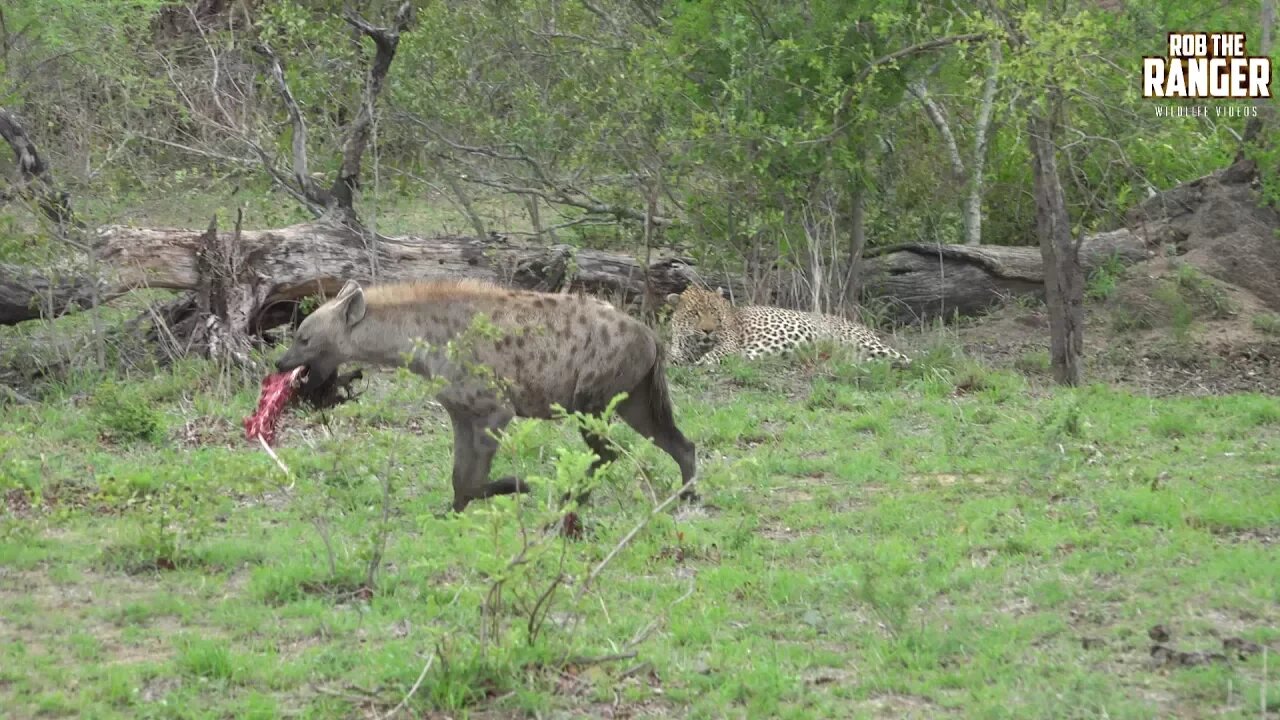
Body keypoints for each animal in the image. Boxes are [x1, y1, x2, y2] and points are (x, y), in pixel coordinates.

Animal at [660, 284, 911, 363]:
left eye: (714, 313)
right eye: (694, 314)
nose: (707, 330)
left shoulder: (730, 345)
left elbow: (714, 354)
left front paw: (704, 361)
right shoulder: (680, 348)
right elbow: (671, 354)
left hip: (863, 342)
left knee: (907, 360)